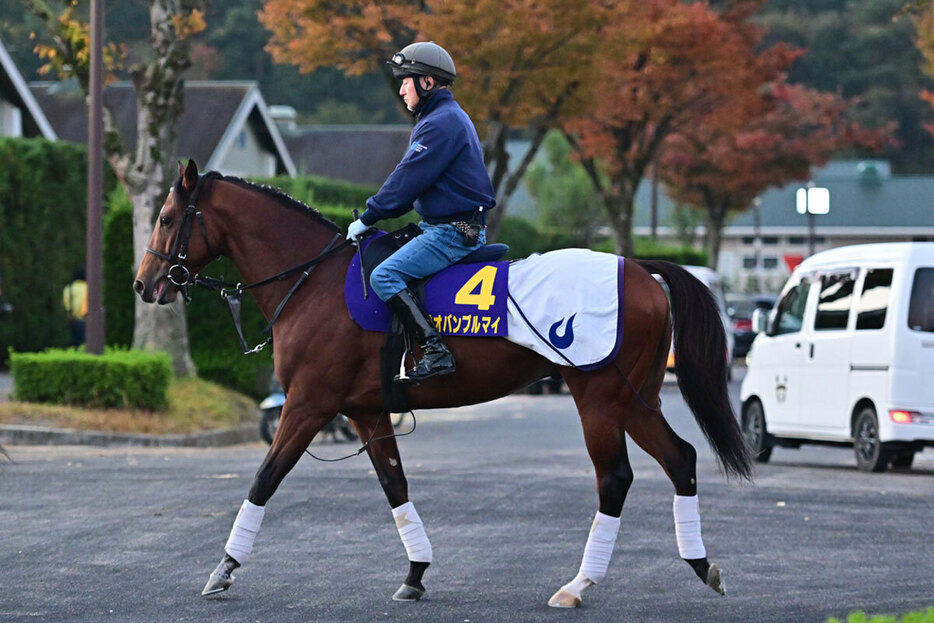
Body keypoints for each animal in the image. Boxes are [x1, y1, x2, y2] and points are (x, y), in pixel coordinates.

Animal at [137, 161, 752, 608]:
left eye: (165, 218)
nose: (144, 285)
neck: (314, 280)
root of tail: (640, 268)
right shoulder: (365, 411)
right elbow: (396, 487)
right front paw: (415, 572)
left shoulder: (307, 406)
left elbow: (264, 478)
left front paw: (224, 568)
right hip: (635, 398)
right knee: (680, 458)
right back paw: (702, 565)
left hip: (599, 399)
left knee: (615, 479)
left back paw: (579, 584)